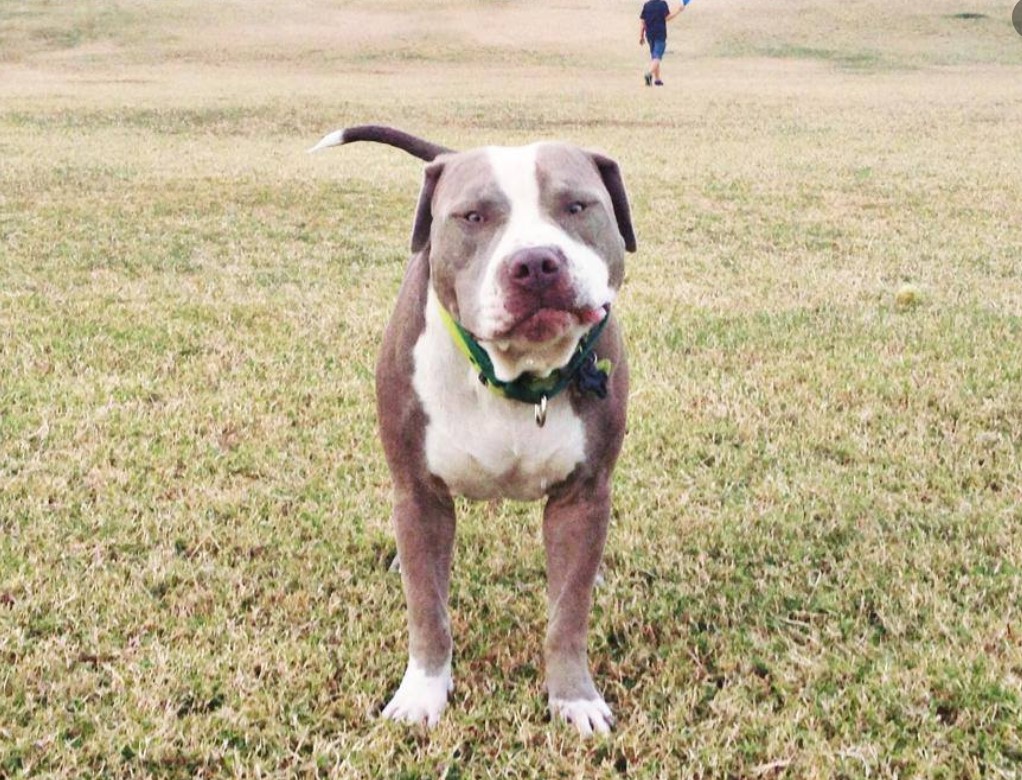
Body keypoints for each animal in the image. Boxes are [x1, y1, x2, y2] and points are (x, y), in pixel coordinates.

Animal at [310, 125, 633, 736]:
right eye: (473, 217)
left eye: (577, 206)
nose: (535, 264)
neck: (516, 373)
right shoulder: (419, 494)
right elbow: (427, 609)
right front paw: (422, 694)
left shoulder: (583, 495)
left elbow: (568, 612)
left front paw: (574, 697)